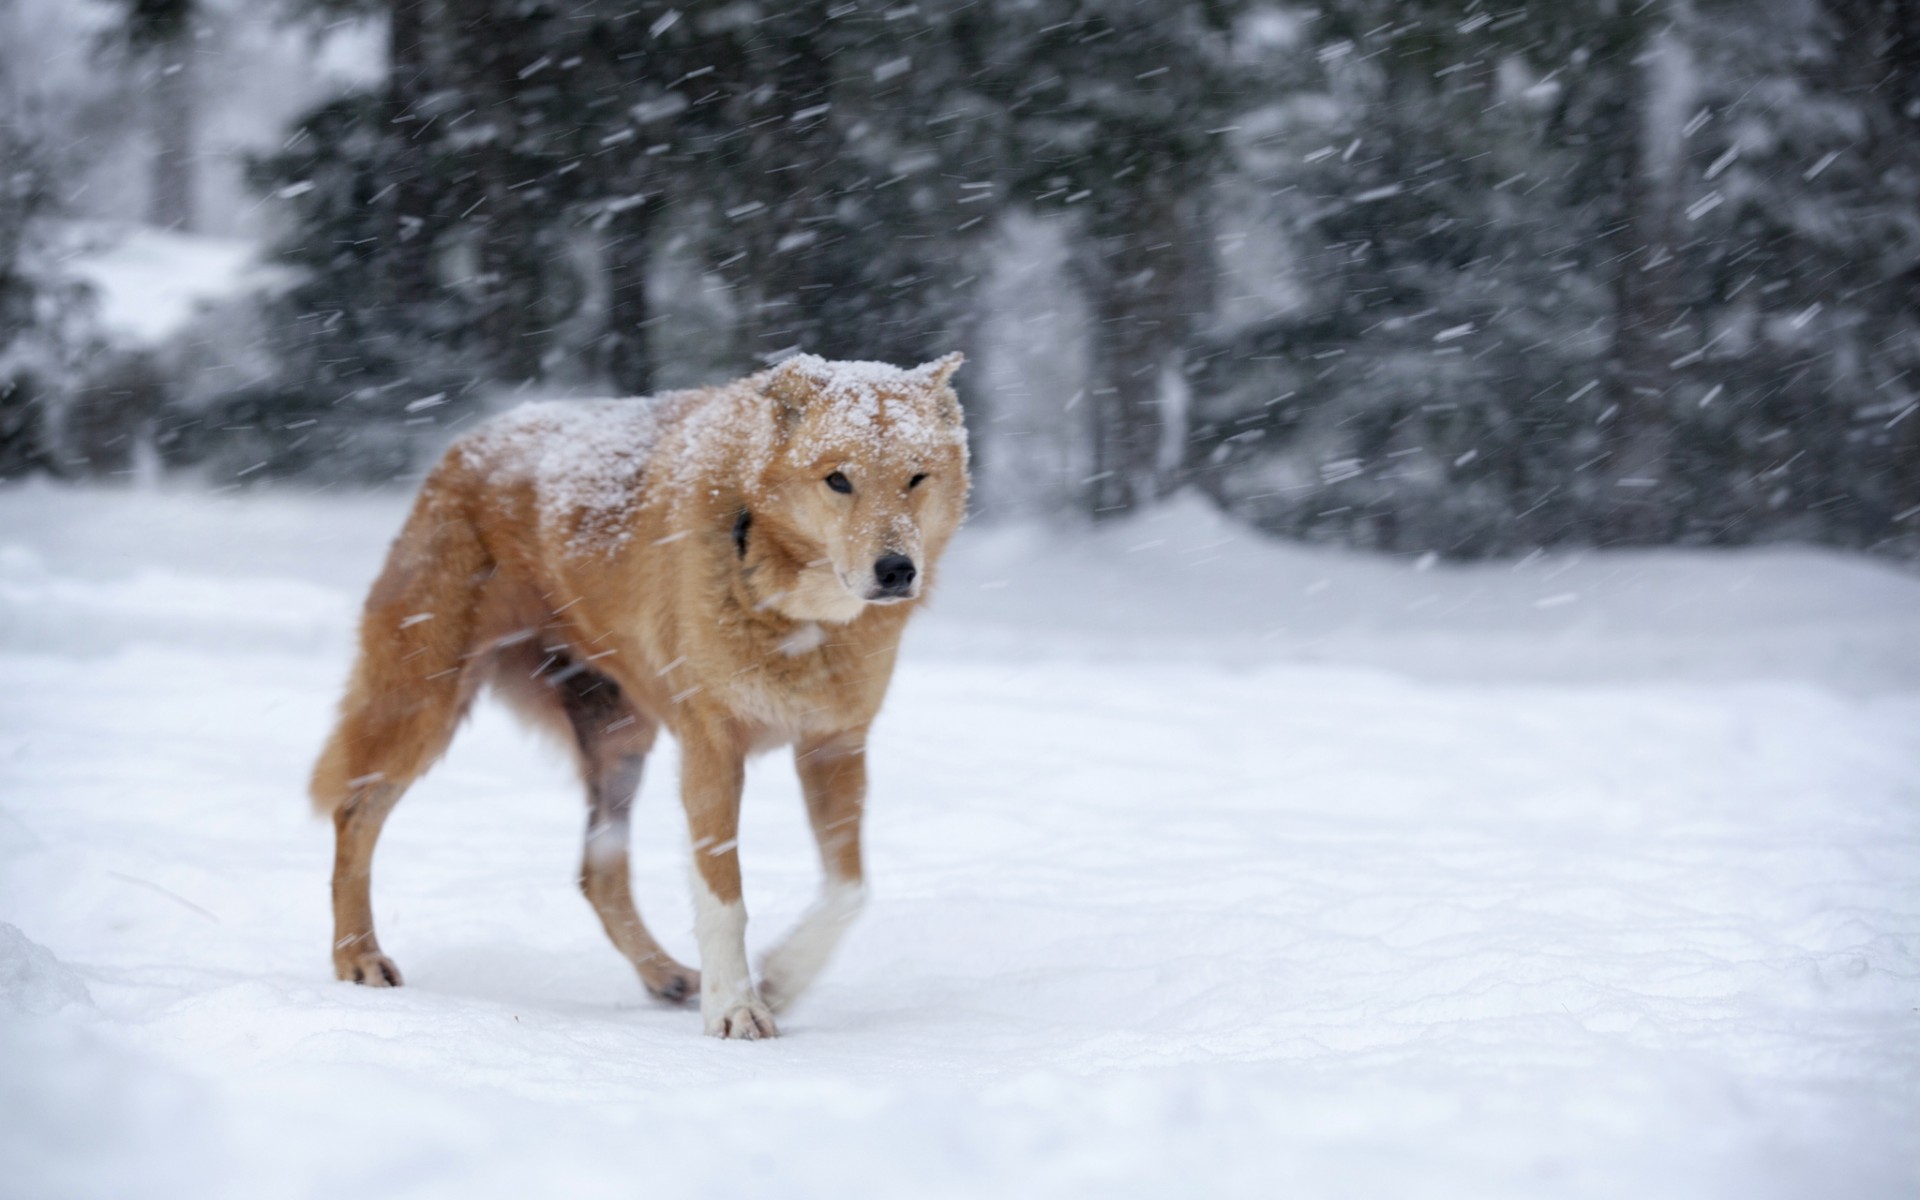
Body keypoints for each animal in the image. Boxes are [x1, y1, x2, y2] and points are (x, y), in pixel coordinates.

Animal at [316, 351, 975, 1036]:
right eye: (838, 480)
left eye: (917, 478)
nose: (896, 570)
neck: (796, 611)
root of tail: (464, 443)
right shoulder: (712, 747)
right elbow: (724, 896)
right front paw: (735, 1009)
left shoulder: (835, 744)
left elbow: (849, 890)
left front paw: (779, 980)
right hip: (423, 707)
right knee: (353, 813)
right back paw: (358, 959)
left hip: (621, 742)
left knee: (597, 873)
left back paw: (666, 976)